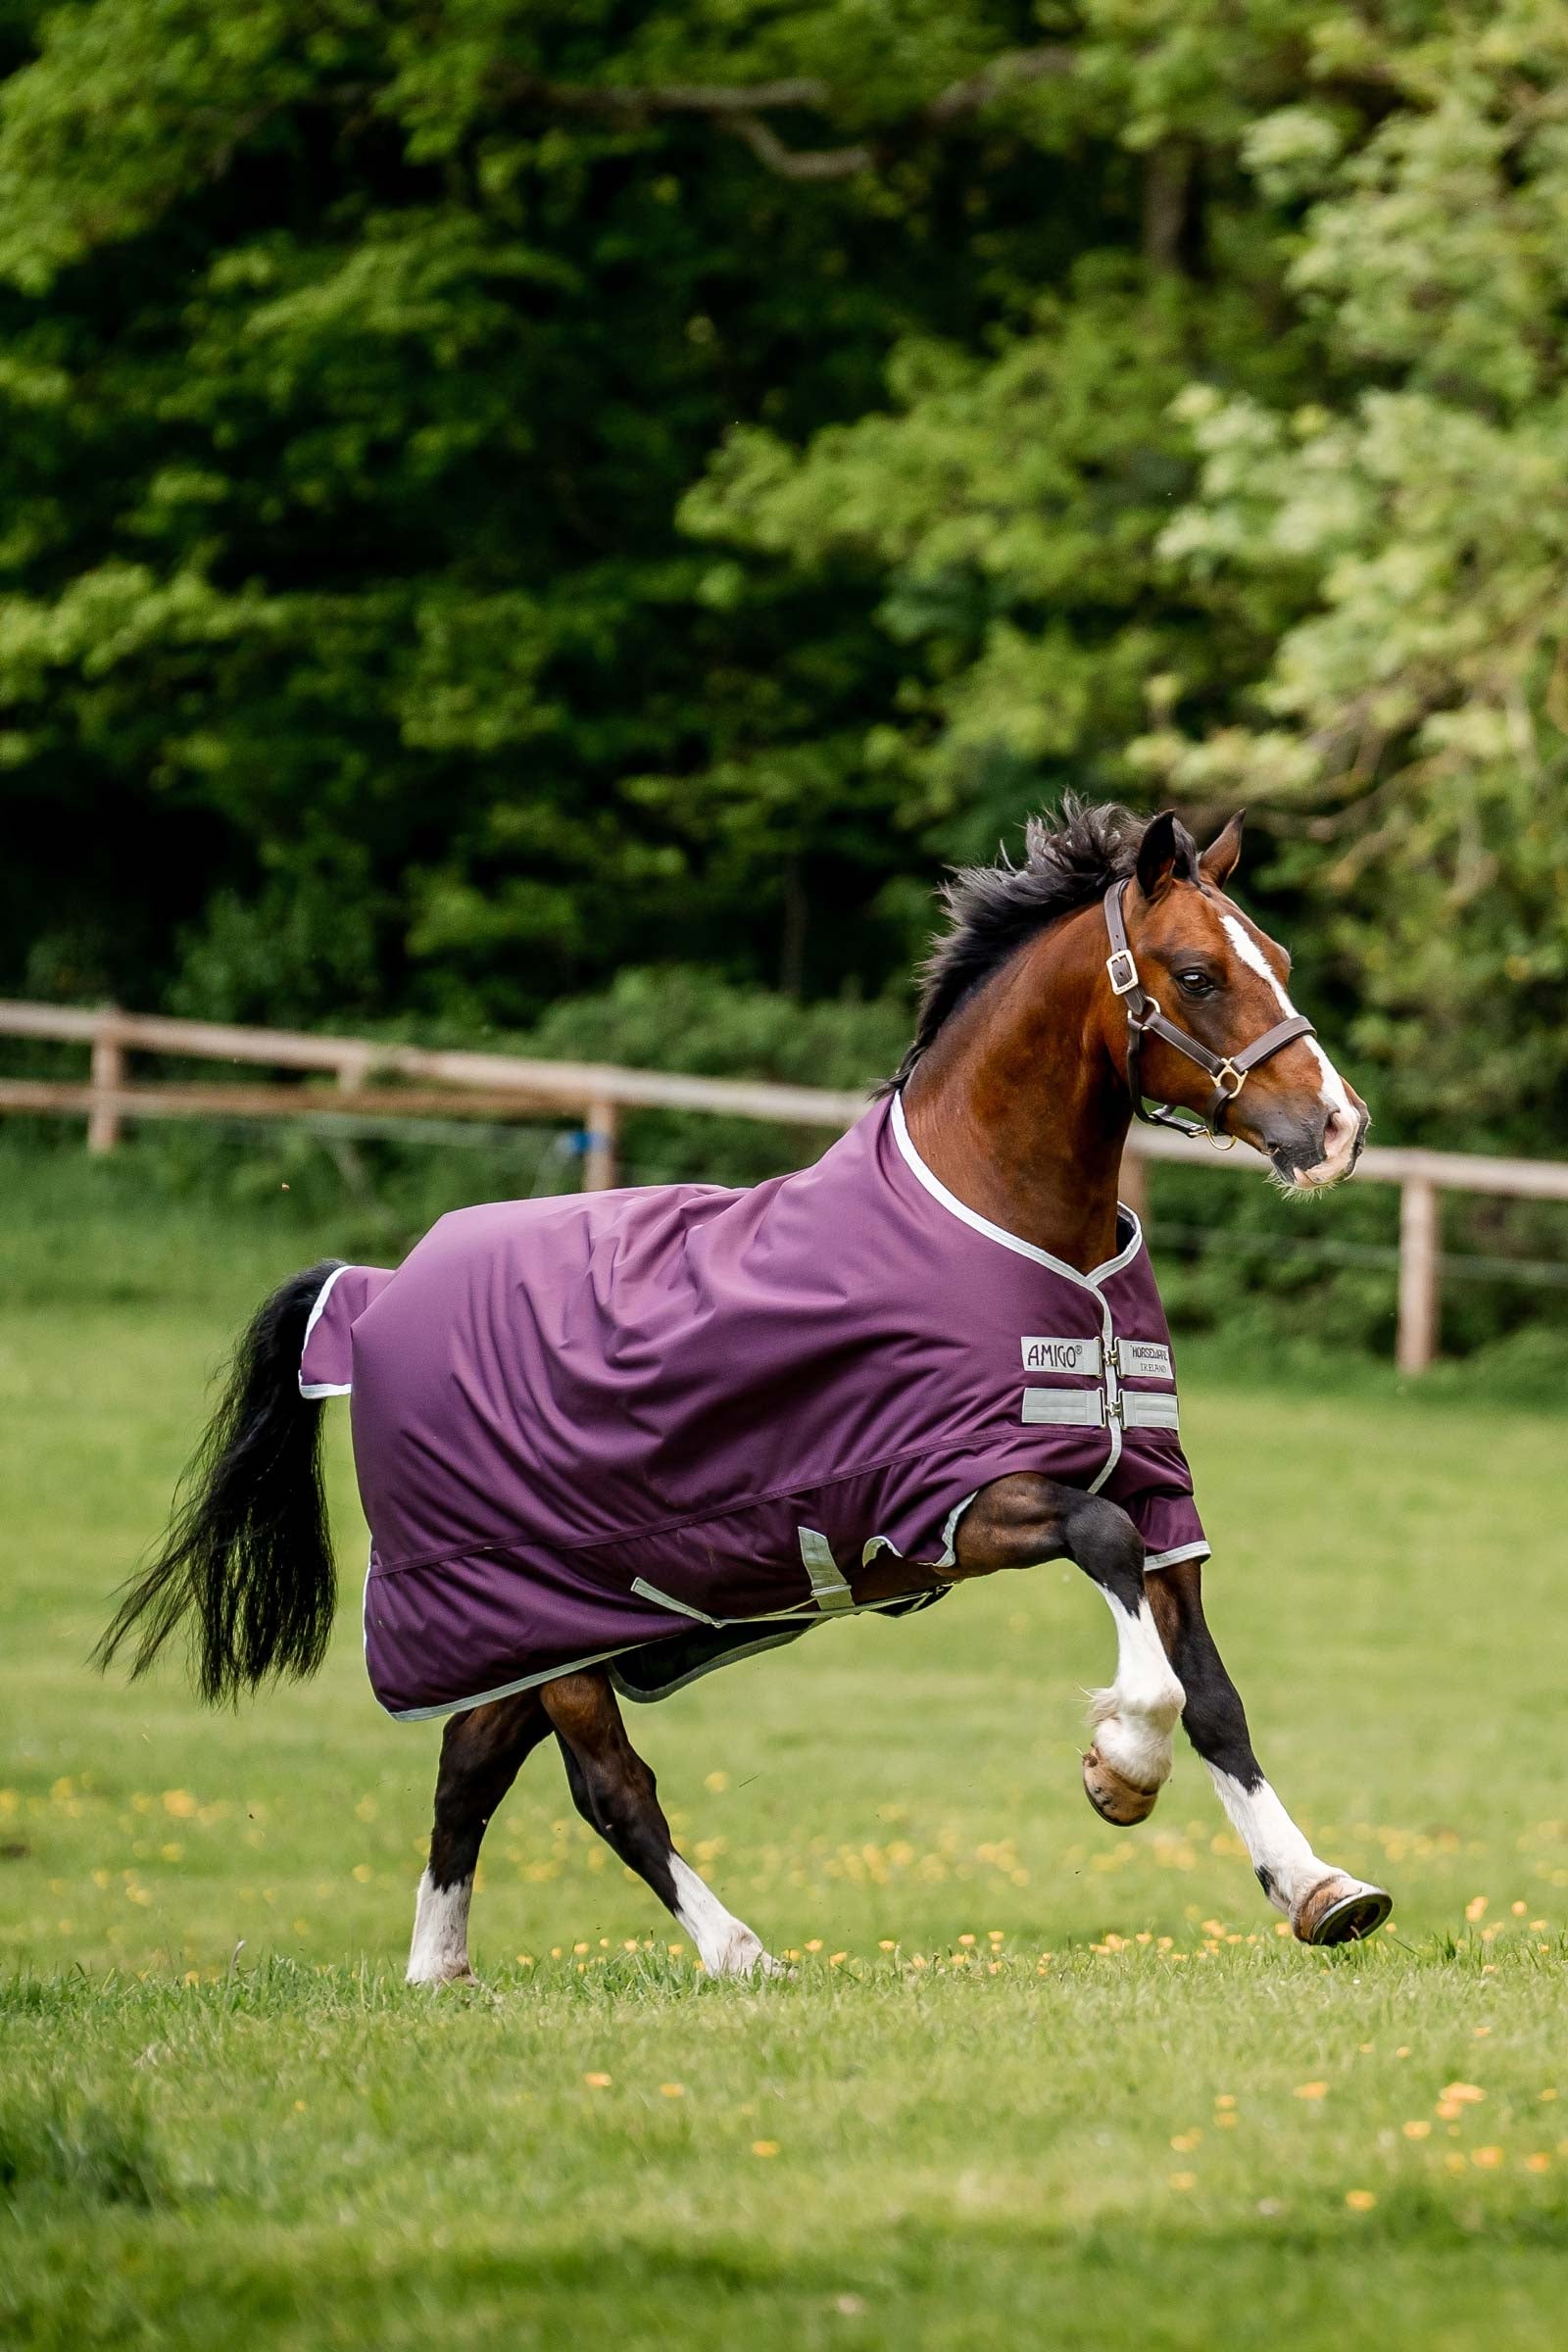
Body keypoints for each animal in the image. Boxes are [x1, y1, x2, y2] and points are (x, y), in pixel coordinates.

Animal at [99, 802, 1393, 1981]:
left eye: (1275, 959)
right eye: (1195, 973)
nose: (1336, 1126)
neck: (1014, 1230)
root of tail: (368, 1297)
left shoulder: (1165, 1501)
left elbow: (1212, 1693)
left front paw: (1318, 1889)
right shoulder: (950, 1502)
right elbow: (1107, 1554)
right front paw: (1119, 1769)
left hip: (532, 1631)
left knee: (469, 1771)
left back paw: (441, 1972)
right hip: (537, 1619)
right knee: (609, 1788)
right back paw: (736, 1955)